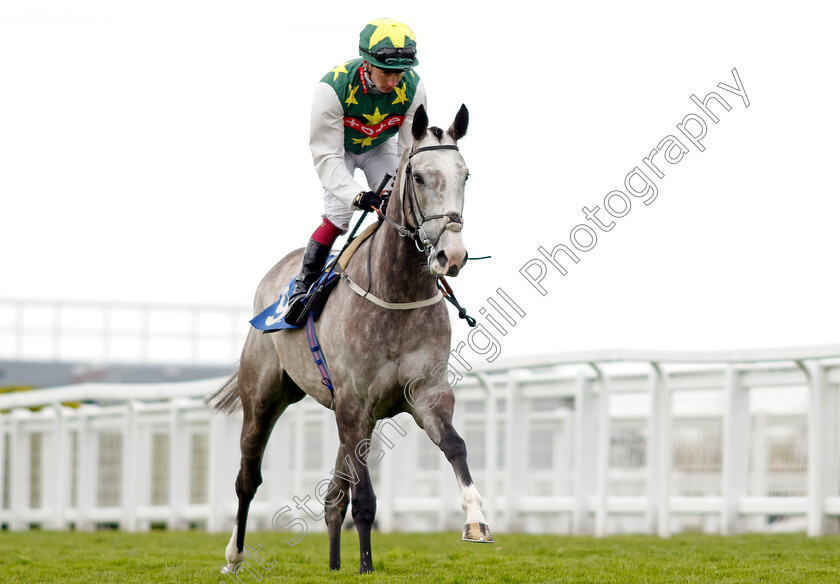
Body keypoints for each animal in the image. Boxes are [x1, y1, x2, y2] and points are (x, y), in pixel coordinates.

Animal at [208, 105, 492, 576]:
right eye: (418, 176)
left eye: (465, 175)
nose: (451, 255)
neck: (397, 294)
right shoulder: (353, 401)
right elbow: (364, 499)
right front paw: (367, 568)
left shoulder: (425, 394)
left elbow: (455, 445)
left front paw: (476, 520)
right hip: (264, 397)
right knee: (248, 478)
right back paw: (234, 557)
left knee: (331, 499)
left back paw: (334, 564)